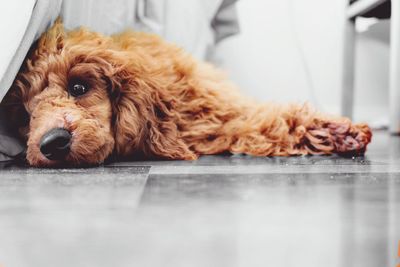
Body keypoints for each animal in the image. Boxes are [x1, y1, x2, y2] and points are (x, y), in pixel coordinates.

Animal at [1, 21, 374, 168]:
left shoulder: (219, 110)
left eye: (78, 87)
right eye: (25, 116)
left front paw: (342, 131)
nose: (52, 143)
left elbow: (269, 120)